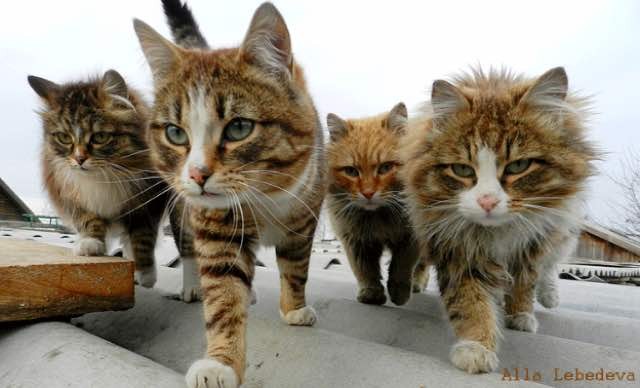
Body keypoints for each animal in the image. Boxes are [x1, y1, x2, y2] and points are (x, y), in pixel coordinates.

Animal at [28, 71, 180, 286]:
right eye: (64, 138)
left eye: (99, 137)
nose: (79, 159)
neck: (104, 176)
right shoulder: (75, 198)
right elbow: (90, 221)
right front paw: (90, 245)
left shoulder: (148, 204)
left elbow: (142, 238)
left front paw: (145, 273)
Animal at [328, 102, 428, 306]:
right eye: (351, 171)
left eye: (385, 168)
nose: (368, 193)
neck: (379, 217)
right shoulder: (355, 241)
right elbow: (365, 270)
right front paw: (371, 293)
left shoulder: (410, 238)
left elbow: (401, 266)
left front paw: (399, 292)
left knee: (423, 266)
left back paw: (416, 284)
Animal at [402, 68, 596, 374]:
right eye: (462, 170)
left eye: (519, 166)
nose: (487, 202)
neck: (498, 234)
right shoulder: (458, 249)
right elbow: (470, 301)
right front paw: (476, 347)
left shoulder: (533, 242)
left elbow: (526, 282)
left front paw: (520, 315)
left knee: (551, 265)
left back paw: (548, 297)